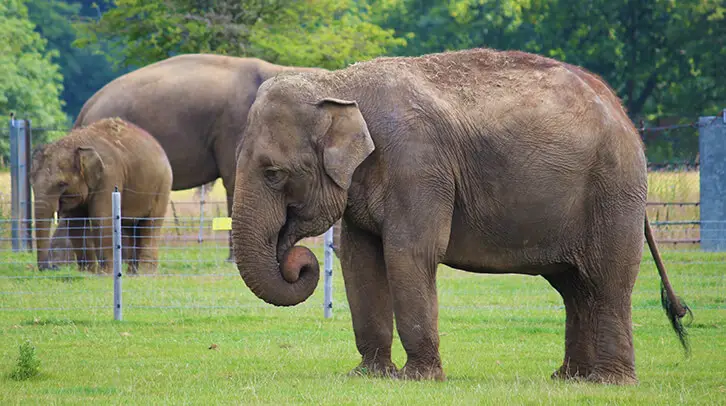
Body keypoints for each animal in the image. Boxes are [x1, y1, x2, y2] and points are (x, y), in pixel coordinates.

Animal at [29, 119, 173, 274]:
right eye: (31, 182)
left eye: (62, 184)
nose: (51, 267)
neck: (76, 142)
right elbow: (75, 224)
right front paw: (87, 273)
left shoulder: (110, 176)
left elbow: (101, 219)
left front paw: (105, 273)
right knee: (132, 226)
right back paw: (132, 273)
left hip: (162, 186)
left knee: (150, 224)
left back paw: (145, 272)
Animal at [230, 47, 692, 384]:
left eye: (273, 173)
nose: (298, 261)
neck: (338, 82)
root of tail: (623, 114)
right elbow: (359, 260)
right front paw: (366, 376)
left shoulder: (418, 165)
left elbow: (409, 254)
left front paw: (416, 380)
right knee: (575, 287)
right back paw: (570, 379)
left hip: (613, 191)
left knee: (606, 280)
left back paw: (610, 382)